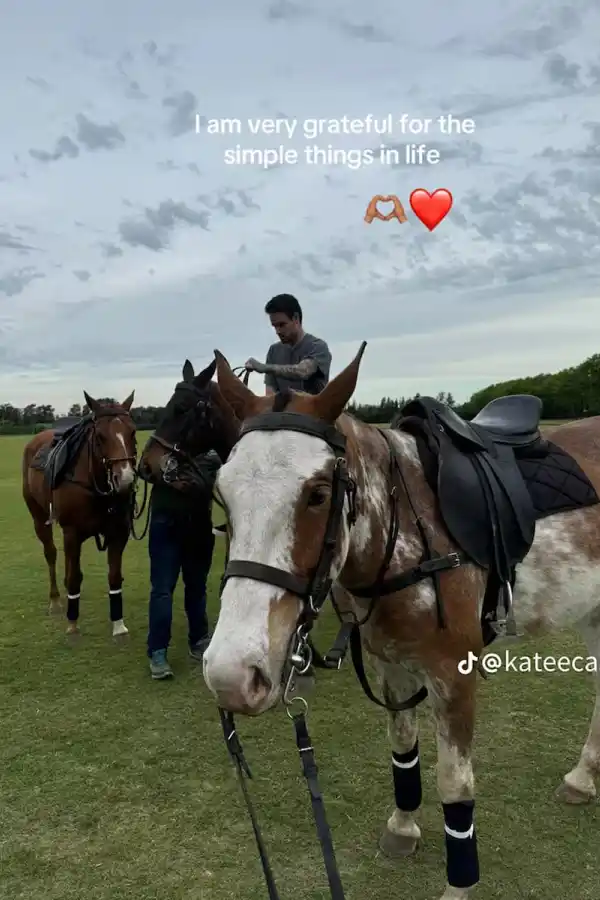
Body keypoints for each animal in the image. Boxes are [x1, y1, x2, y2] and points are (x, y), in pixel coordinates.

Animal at [22, 391, 137, 638]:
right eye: (100, 436)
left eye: (132, 432)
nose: (125, 480)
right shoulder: (73, 532)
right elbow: (75, 577)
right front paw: (72, 624)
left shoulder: (118, 532)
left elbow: (114, 576)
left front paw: (118, 625)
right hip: (39, 518)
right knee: (51, 554)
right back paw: (56, 601)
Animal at [203, 345, 600, 900]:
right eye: (222, 493)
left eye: (318, 493)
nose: (231, 676)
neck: (403, 534)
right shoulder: (390, 664)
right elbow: (403, 748)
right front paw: (403, 827)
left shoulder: (455, 674)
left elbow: (455, 784)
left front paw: (459, 886)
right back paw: (583, 777)